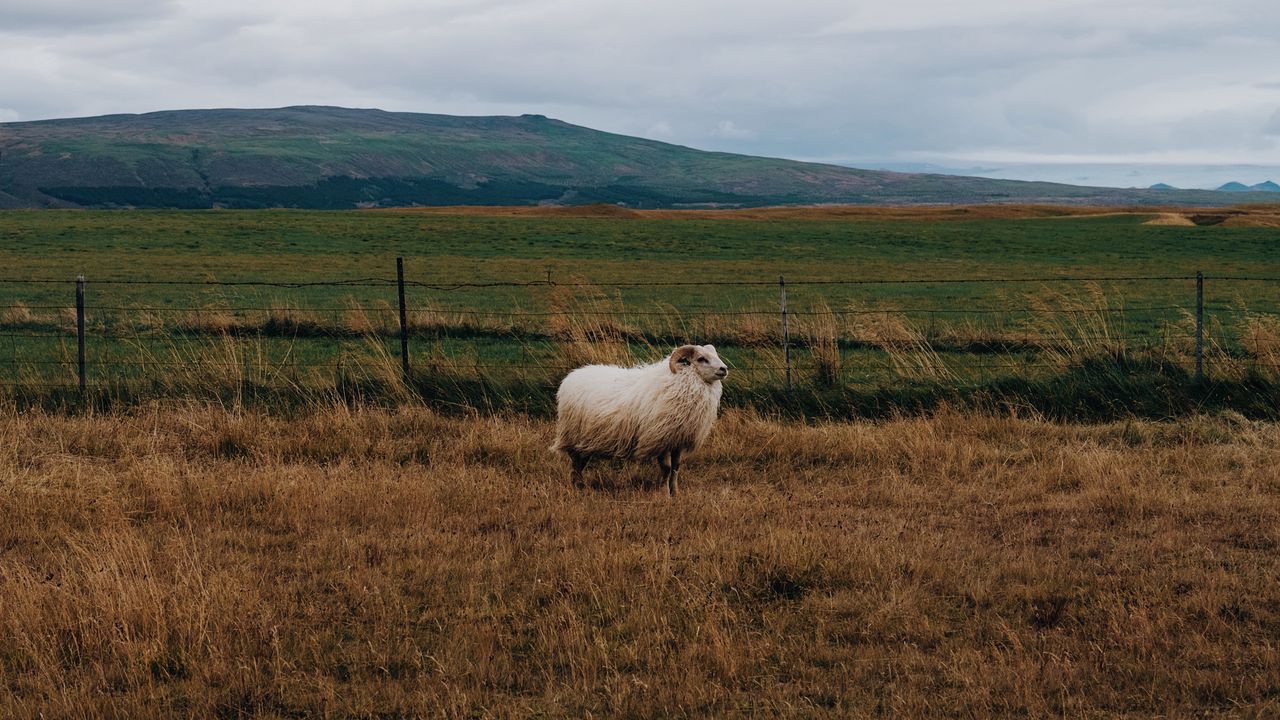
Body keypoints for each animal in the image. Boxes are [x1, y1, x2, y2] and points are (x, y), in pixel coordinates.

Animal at [552, 343, 732, 491]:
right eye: (701, 359)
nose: (724, 369)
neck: (683, 380)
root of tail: (573, 375)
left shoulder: (677, 439)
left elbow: (676, 468)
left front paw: (675, 493)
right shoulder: (660, 438)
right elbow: (666, 469)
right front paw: (664, 494)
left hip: (586, 439)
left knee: (580, 462)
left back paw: (580, 485)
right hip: (573, 435)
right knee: (576, 463)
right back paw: (577, 486)